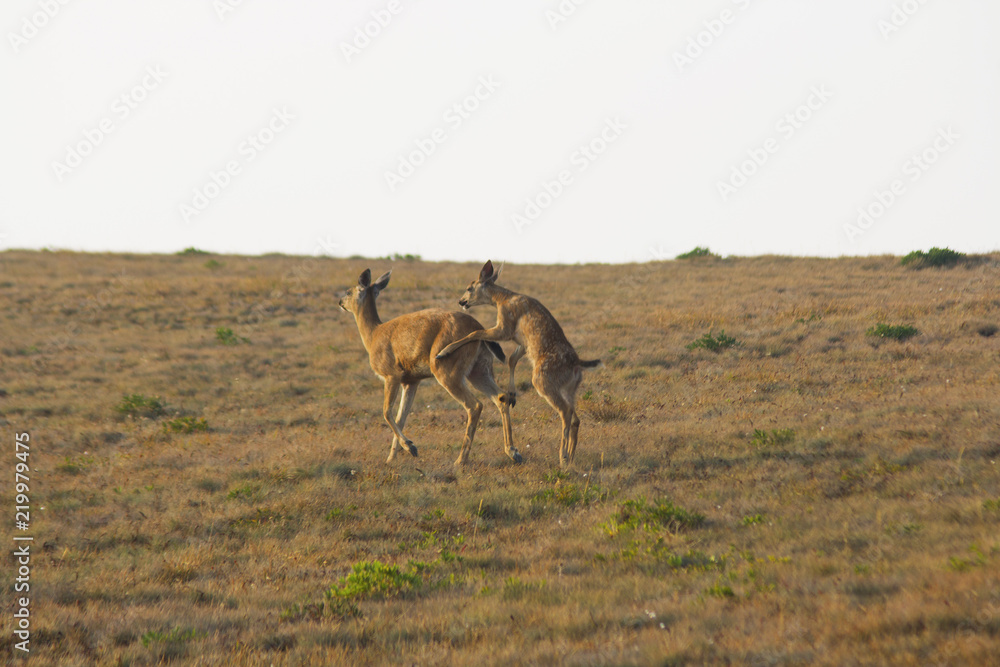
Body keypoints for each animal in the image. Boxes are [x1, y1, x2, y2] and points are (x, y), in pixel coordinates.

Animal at [339, 268, 522, 467]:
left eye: (348, 292)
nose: (340, 302)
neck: (373, 335)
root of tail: (478, 327)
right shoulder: (411, 380)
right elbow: (401, 417)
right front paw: (393, 457)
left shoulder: (392, 374)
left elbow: (387, 412)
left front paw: (410, 447)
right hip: (479, 369)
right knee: (501, 396)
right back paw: (513, 452)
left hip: (445, 368)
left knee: (474, 405)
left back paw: (460, 460)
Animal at [435, 260, 600, 467]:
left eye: (469, 287)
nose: (461, 301)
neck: (502, 300)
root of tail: (577, 364)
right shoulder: (521, 341)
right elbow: (512, 359)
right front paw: (512, 395)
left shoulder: (505, 327)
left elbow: (476, 333)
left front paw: (443, 352)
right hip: (569, 388)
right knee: (576, 418)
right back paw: (570, 456)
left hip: (542, 380)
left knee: (565, 411)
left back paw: (562, 457)